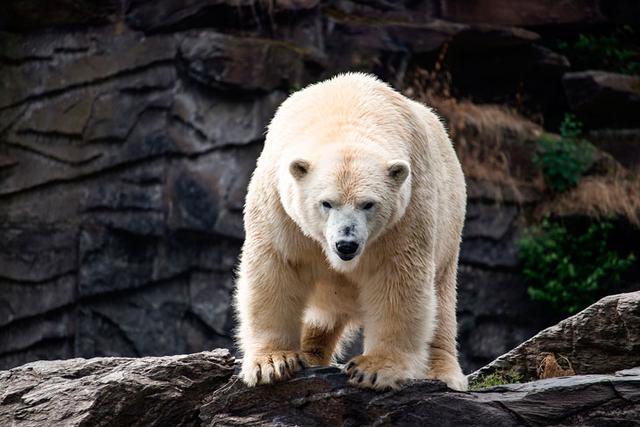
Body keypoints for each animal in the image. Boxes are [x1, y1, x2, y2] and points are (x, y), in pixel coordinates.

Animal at [232, 72, 468, 392]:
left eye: (368, 204)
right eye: (326, 203)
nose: (346, 244)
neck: (347, 109)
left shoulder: (406, 212)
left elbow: (398, 280)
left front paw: (375, 369)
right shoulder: (279, 208)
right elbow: (275, 269)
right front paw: (272, 363)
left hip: (449, 228)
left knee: (441, 303)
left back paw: (443, 373)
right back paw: (310, 353)